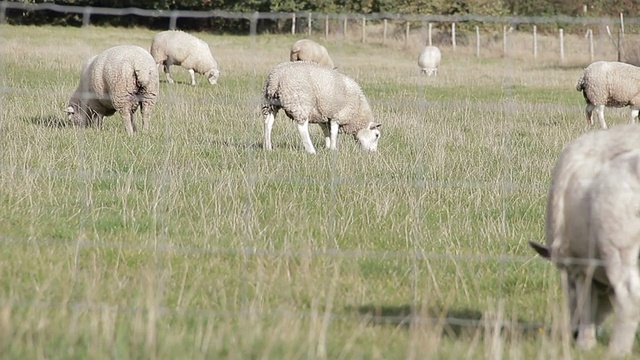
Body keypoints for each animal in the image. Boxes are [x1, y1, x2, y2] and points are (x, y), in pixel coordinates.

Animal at [528, 124, 640, 358]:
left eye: (567, 286)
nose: (573, 332)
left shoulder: (578, 264)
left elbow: (586, 299)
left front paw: (585, 343)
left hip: (617, 242)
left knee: (630, 294)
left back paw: (618, 349)